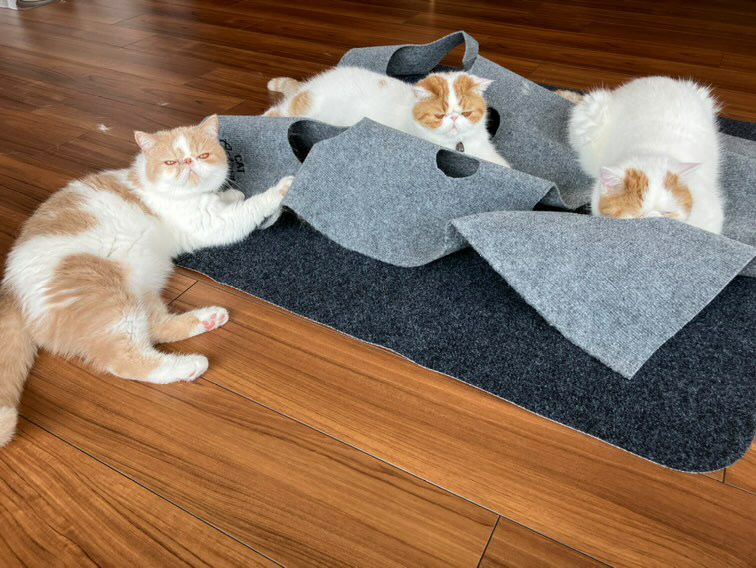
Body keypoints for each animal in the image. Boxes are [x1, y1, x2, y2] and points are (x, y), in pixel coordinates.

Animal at [0, 115, 293, 447]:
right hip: (109, 299)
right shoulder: (212, 225)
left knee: (158, 327)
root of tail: (12, 291)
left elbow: (229, 197)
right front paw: (283, 187)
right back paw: (190, 365)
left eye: (202, 155)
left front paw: (231, 193)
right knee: (128, 360)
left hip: (141, 290)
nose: (188, 162)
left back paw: (208, 319)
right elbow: (250, 207)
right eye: (171, 161)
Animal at [264, 66, 511, 168]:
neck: (457, 145)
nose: (453, 118)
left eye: (466, 112)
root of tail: (312, 84)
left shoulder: (483, 148)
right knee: (273, 113)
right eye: (439, 115)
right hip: (300, 108)